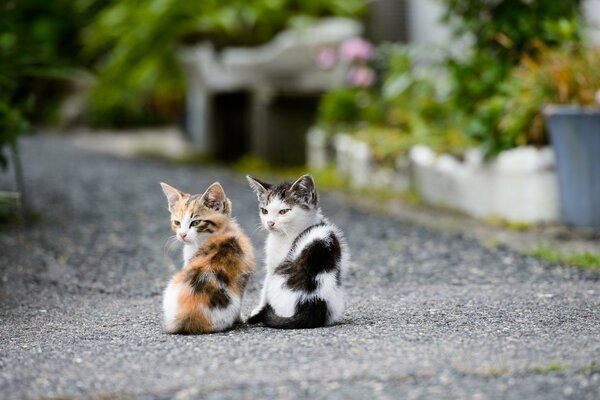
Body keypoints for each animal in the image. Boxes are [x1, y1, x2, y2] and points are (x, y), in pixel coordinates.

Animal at [244, 174, 346, 328]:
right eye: (264, 211)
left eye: (283, 211)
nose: (270, 223)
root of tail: (312, 300)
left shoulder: (274, 265)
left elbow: (264, 289)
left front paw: (258, 309)